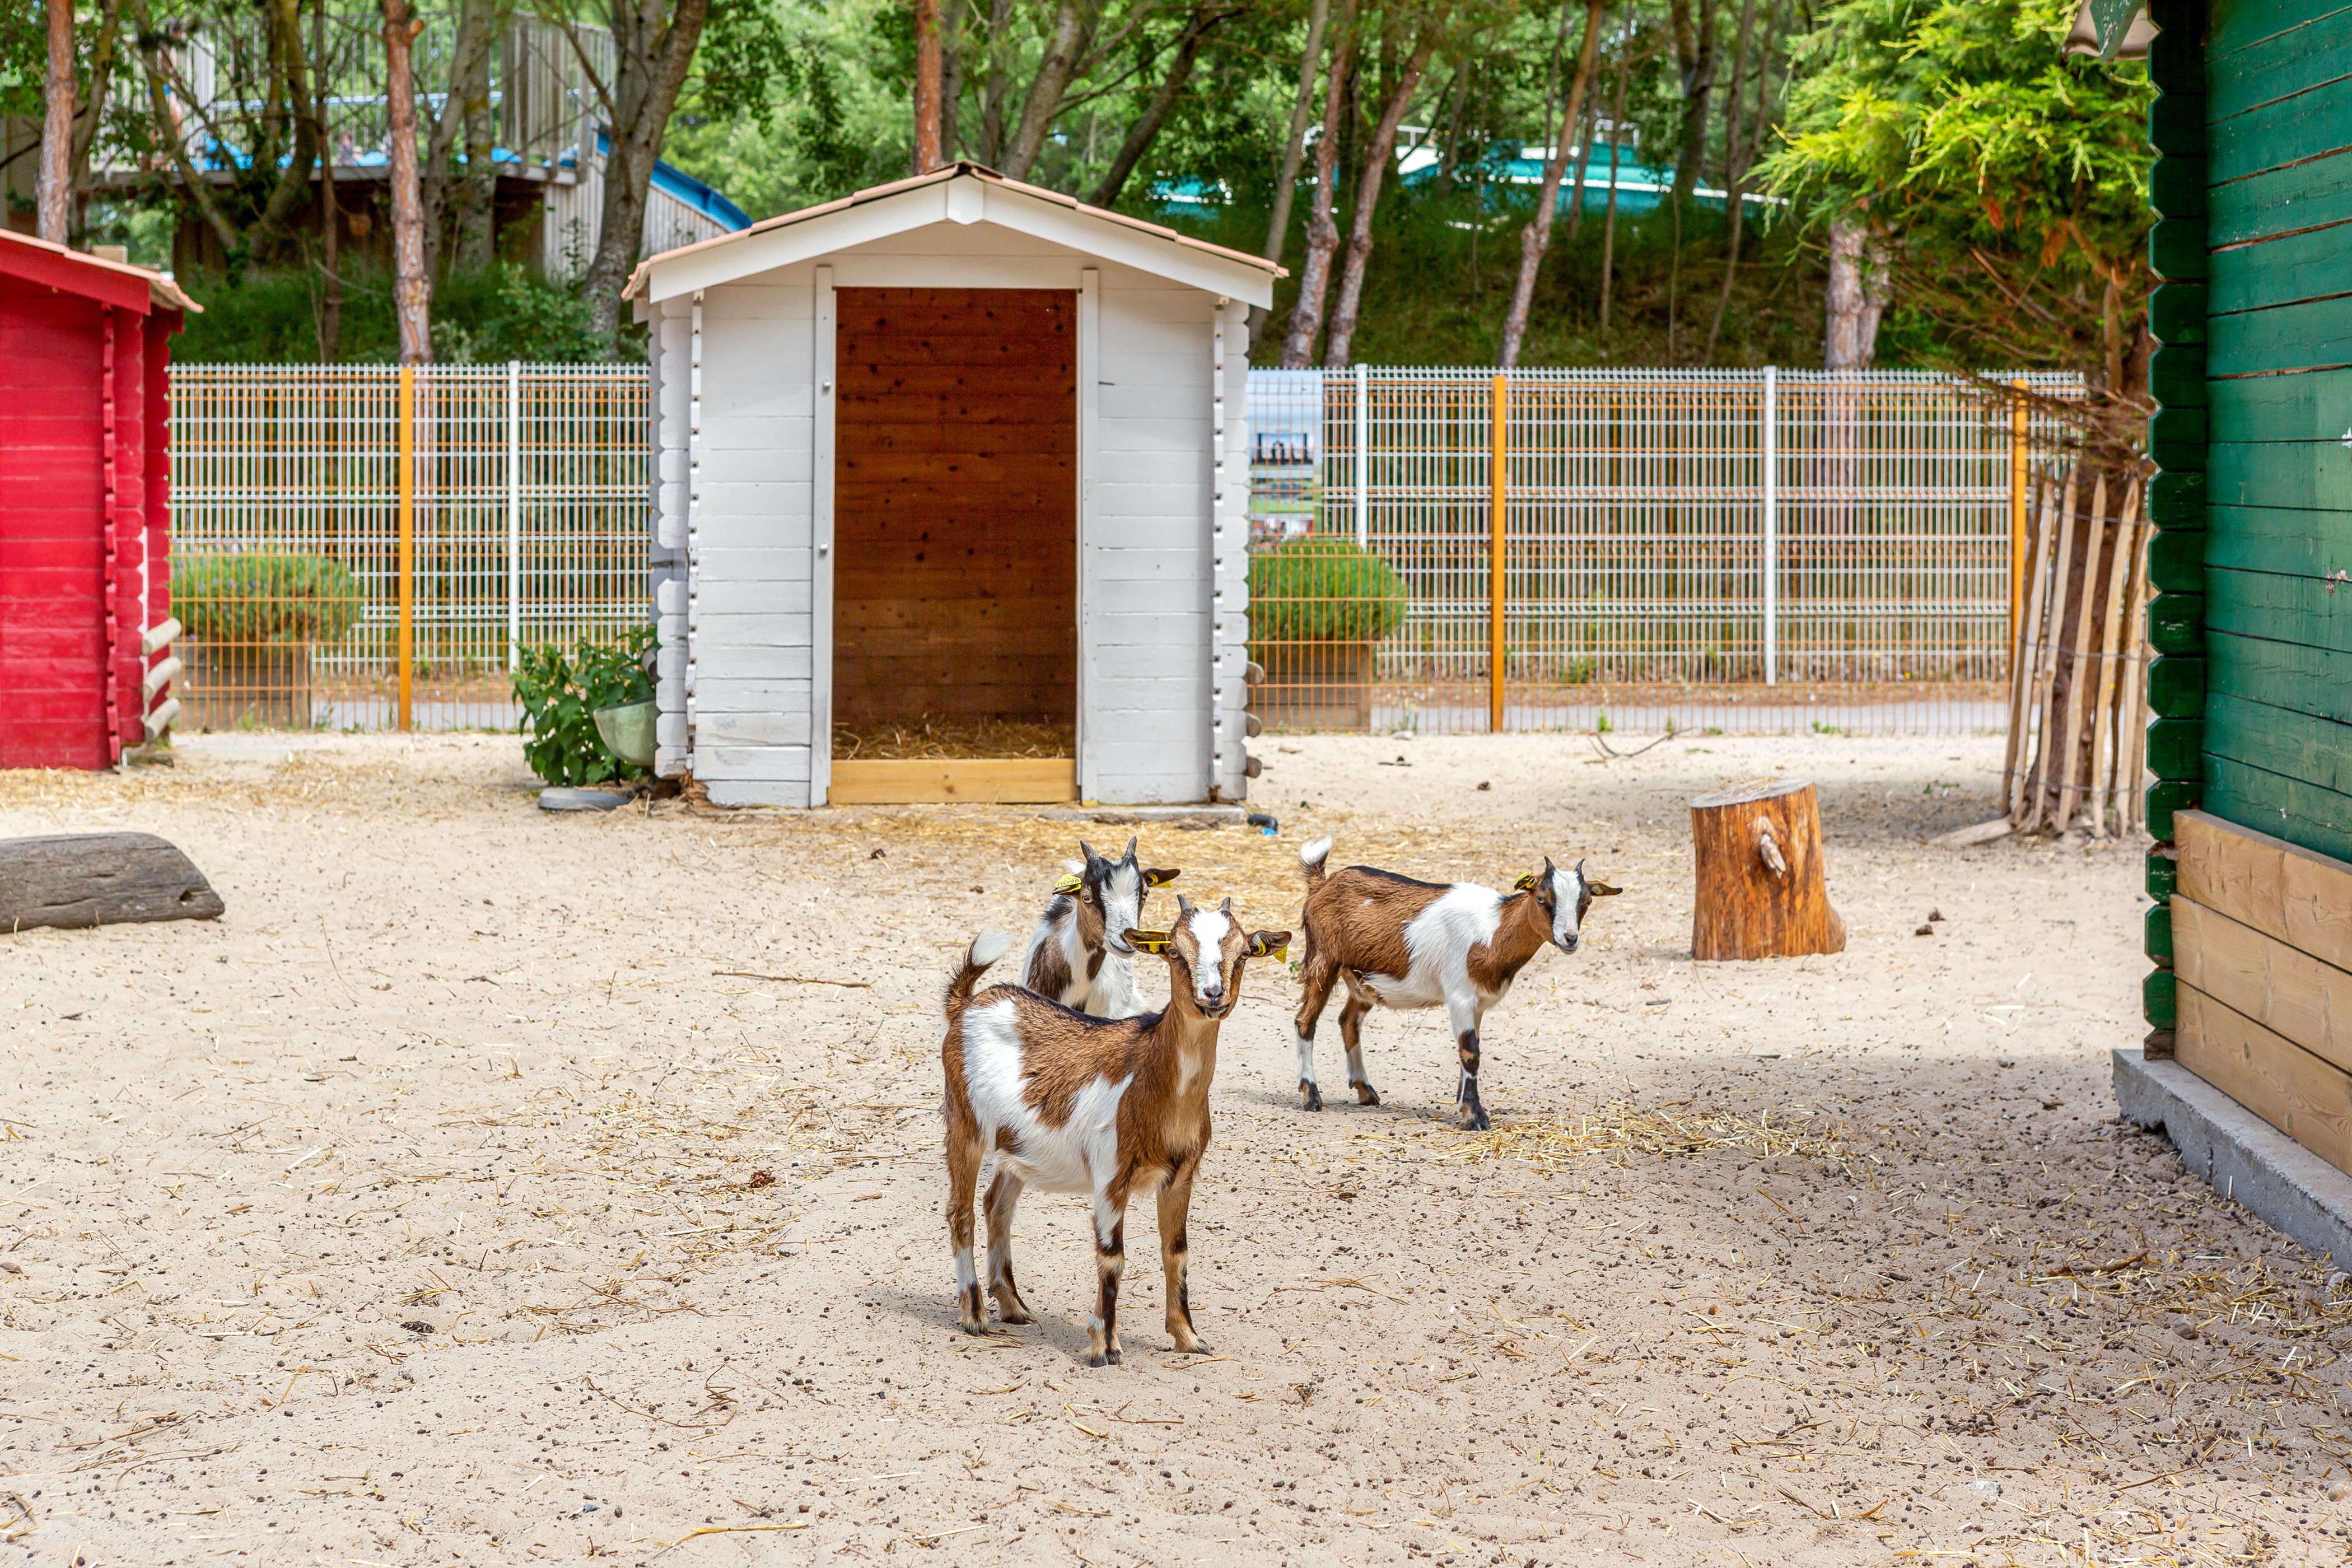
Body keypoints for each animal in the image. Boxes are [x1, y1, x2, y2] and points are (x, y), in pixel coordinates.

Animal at [1289, 841, 1618, 1133]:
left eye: (1586, 902)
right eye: (1541, 899)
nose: (1570, 939)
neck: (1492, 933)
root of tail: (1322, 884)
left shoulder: (1478, 1003)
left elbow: (1468, 1051)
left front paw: (1462, 1103)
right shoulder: (1460, 996)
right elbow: (1471, 1052)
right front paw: (1475, 1117)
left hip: (1363, 979)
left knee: (1349, 1021)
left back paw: (1366, 1091)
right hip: (1323, 960)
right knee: (1306, 1021)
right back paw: (1312, 1096)